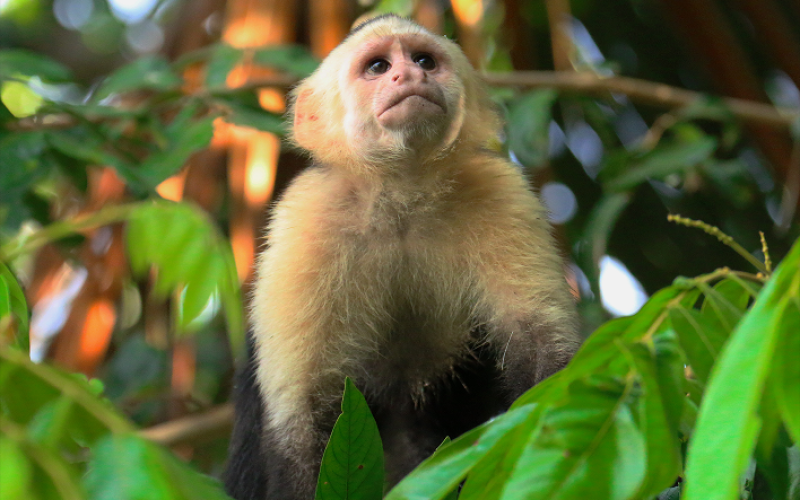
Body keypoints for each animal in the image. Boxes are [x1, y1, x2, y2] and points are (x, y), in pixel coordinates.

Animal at [223, 14, 580, 500]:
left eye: (424, 60)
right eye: (378, 66)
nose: (410, 75)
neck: (402, 195)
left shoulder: (500, 192)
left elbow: (546, 354)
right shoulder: (306, 218)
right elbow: (302, 415)